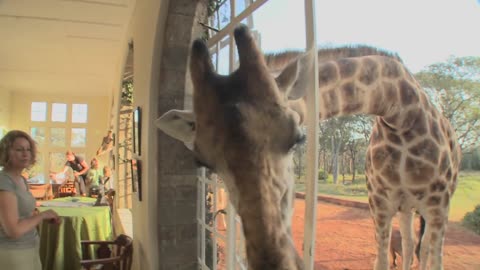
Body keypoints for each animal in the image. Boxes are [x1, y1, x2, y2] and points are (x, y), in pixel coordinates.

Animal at [262, 47, 462, 268]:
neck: (401, 113)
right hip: (407, 207)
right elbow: (381, 261)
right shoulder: (379, 203)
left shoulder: (439, 206)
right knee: (409, 242)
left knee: (424, 245)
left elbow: (435, 260)